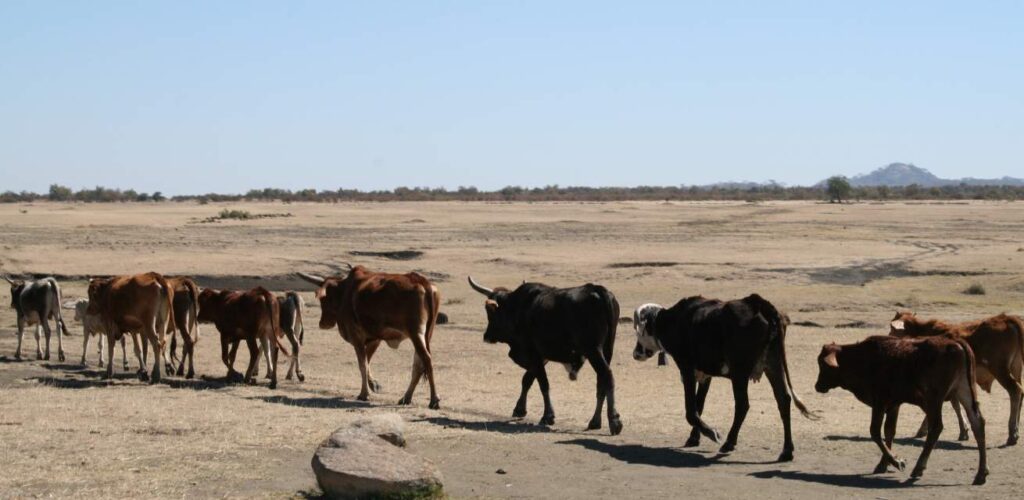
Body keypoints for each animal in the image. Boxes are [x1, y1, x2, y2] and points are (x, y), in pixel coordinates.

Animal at [297, 266, 441, 408]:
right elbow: (367, 361)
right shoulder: (375, 339)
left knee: (426, 359)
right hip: (426, 335)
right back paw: (406, 397)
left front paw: (364, 393)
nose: (323, 323)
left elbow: (363, 365)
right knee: (418, 365)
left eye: (324, 298)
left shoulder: (357, 338)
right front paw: (373, 385)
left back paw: (434, 400)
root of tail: (422, 282)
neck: (344, 292)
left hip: (416, 334)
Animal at [467, 276, 623, 435]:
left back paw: (614, 421)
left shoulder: (533, 354)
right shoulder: (541, 357)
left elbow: (543, 384)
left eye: (490, 312)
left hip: (593, 351)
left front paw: (547, 416)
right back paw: (595, 421)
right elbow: (527, 380)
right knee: (601, 382)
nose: (486, 336)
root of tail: (599, 290)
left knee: (607, 375)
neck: (515, 308)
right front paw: (520, 409)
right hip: (607, 350)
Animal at [632, 295, 817, 461]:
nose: (635, 353)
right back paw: (786, 451)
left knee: (743, 405)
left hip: (740, 374)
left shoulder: (686, 369)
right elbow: (699, 406)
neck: (671, 321)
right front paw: (694, 437)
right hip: (773, 367)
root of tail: (758, 303)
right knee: (783, 401)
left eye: (638, 331)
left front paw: (711, 433)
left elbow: (691, 411)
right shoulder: (705, 376)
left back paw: (729, 442)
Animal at [815, 335, 988, 485]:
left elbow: (875, 432)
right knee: (977, 423)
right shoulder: (894, 405)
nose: (817, 386)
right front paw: (884, 464)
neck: (863, 359)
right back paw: (981, 474)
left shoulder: (880, 402)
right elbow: (889, 432)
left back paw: (918, 468)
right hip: (964, 392)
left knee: (936, 427)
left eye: (822, 364)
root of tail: (956, 343)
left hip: (933, 400)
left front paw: (897, 461)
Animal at [890, 311, 1024, 446]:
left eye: (892, 329)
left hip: (1000, 370)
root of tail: (1007, 319)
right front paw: (963, 430)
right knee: (1021, 392)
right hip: (1016, 369)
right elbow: (956, 405)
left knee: (1015, 391)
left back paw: (1012, 433)